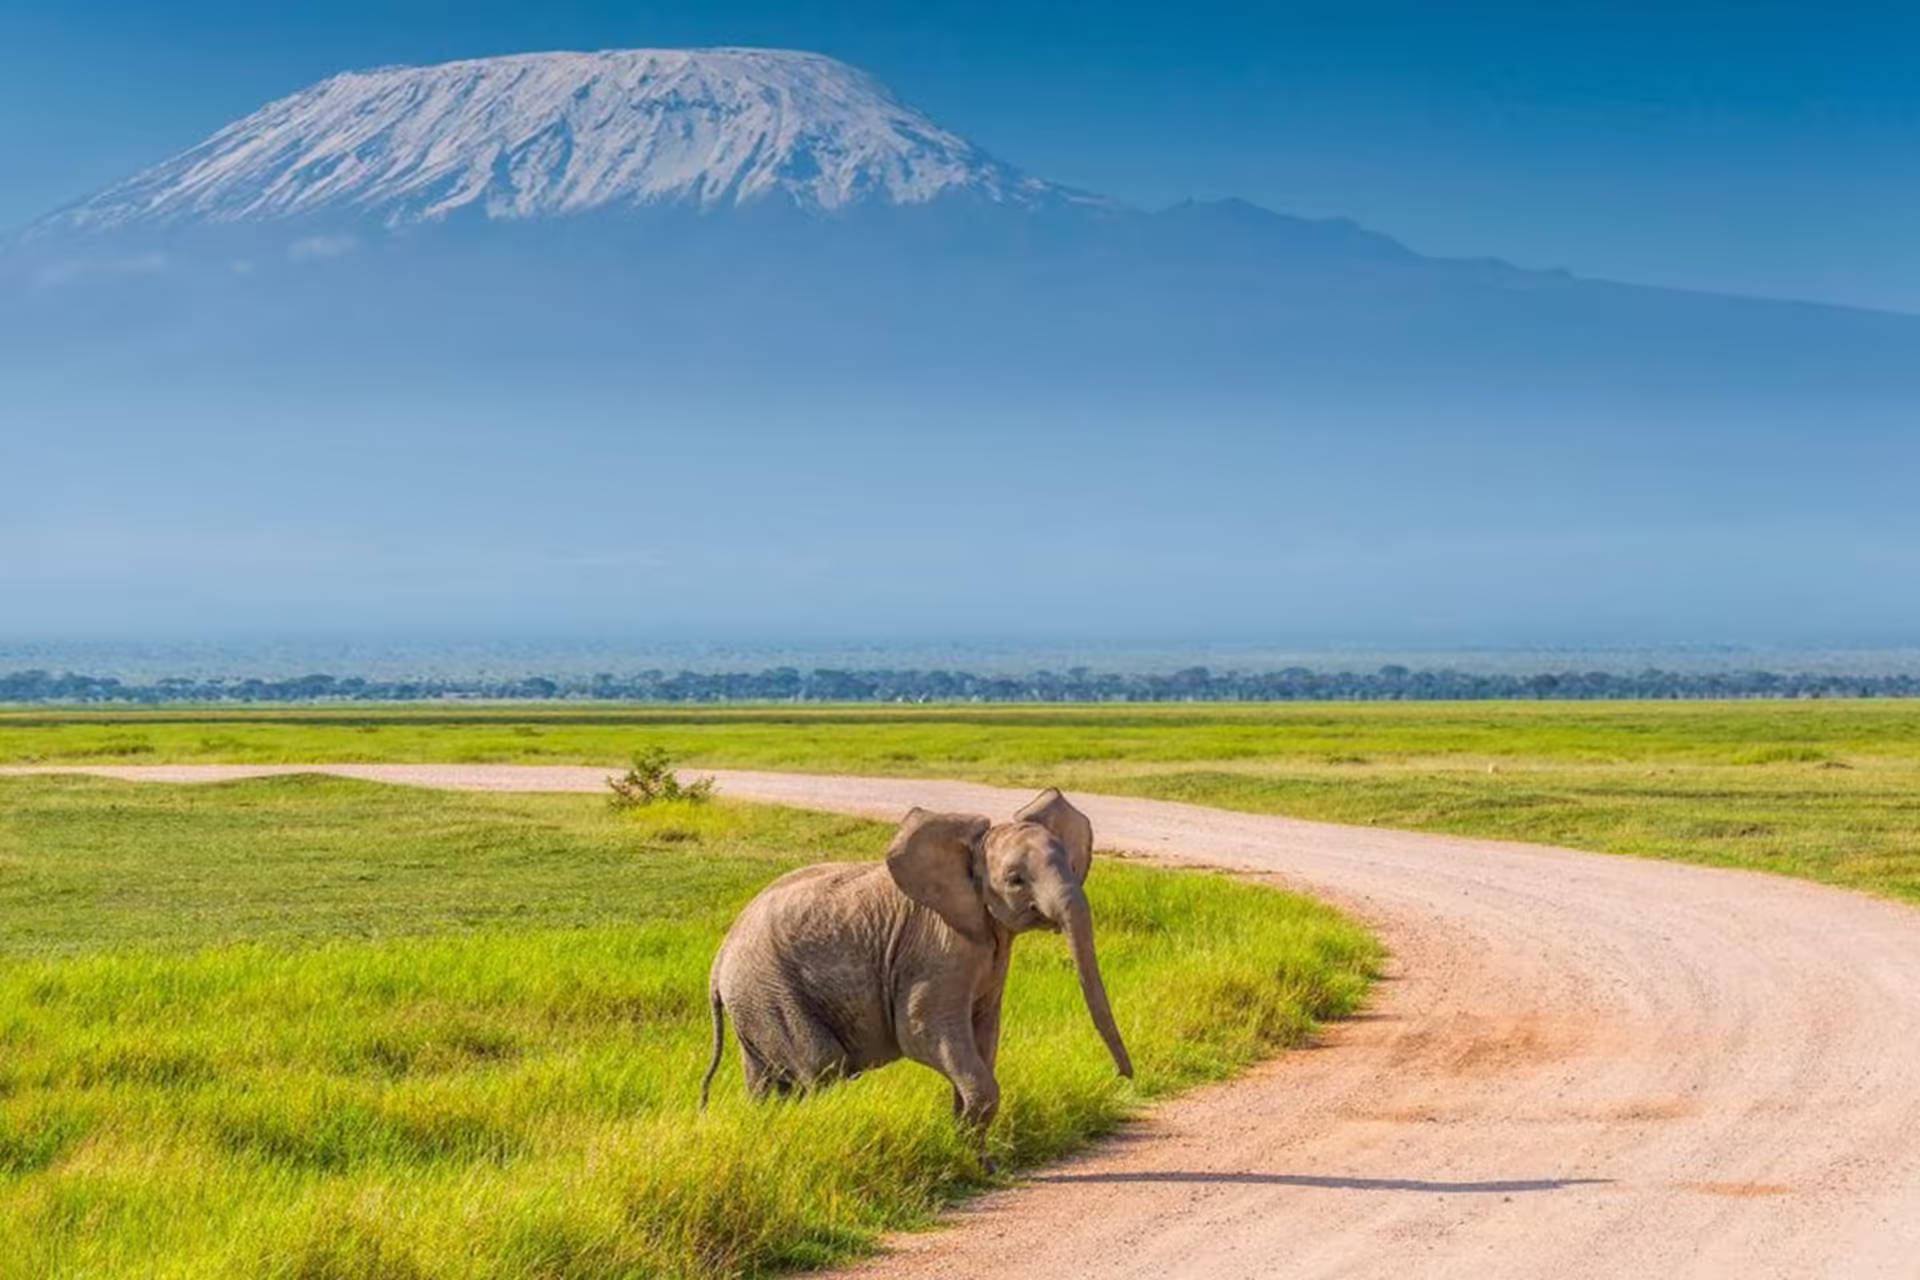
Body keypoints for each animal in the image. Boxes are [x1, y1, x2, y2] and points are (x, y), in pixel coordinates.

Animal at [699, 789, 1132, 1163]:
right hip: (771, 991)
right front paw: (966, 1156)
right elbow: (922, 1032)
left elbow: (983, 1035)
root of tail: (719, 961)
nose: (1119, 1076)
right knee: (823, 1068)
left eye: (1073, 866)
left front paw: (975, 1159)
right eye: (1015, 880)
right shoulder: (934, 948)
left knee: (766, 1083)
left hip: (755, 1000)